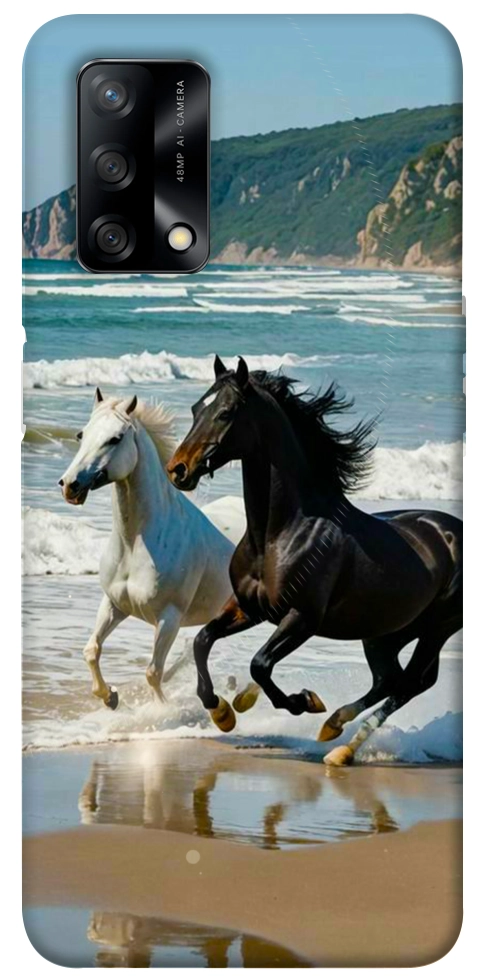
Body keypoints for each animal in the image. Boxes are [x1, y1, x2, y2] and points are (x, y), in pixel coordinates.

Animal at [59, 388, 234, 709]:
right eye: (81, 434)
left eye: (115, 438)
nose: (70, 485)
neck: (135, 544)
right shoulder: (114, 604)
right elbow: (92, 650)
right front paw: (110, 697)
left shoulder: (169, 618)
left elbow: (153, 672)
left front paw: (161, 711)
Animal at [166, 356, 463, 765]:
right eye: (197, 408)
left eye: (225, 412)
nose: (177, 469)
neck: (280, 534)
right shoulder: (248, 608)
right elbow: (202, 640)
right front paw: (223, 711)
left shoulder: (302, 618)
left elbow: (260, 664)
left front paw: (302, 701)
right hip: (386, 632)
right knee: (390, 679)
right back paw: (334, 729)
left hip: (437, 628)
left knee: (410, 683)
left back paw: (340, 745)